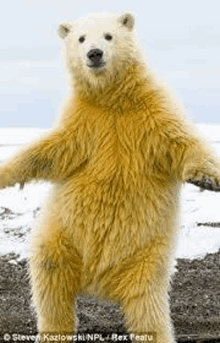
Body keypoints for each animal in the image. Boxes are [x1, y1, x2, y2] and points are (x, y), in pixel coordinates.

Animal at [0, 10, 220, 343]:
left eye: (108, 35)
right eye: (80, 38)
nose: (94, 53)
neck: (113, 100)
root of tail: (98, 283)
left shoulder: (152, 113)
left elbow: (181, 143)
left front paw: (208, 179)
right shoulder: (84, 122)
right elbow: (49, 151)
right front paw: (3, 172)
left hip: (146, 259)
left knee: (148, 308)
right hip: (61, 236)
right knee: (51, 282)